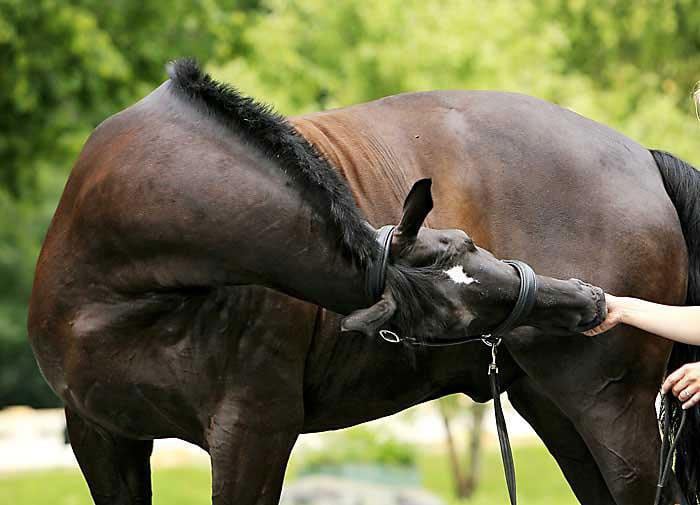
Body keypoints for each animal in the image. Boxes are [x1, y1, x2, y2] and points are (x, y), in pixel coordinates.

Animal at [26, 57, 688, 502]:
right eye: (454, 314)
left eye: (469, 243)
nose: (587, 301)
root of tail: (641, 157)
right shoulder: (100, 436)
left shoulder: (253, 432)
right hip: (554, 409)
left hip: (614, 412)